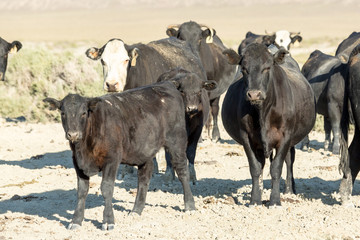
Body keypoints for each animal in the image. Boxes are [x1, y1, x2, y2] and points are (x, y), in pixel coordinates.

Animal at [44, 81, 197, 231]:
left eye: (83, 113)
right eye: (63, 113)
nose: (73, 134)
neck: (84, 148)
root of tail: (167, 84)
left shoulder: (112, 160)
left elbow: (106, 188)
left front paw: (108, 221)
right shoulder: (77, 163)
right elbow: (81, 191)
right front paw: (76, 221)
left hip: (176, 141)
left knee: (182, 171)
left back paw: (190, 205)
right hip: (145, 150)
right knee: (144, 177)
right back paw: (136, 210)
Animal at [221, 44, 316, 207]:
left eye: (267, 67)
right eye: (244, 68)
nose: (254, 94)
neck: (263, 112)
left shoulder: (285, 137)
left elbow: (277, 168)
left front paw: (275, 200)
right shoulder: (246, 137)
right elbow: (255, 168)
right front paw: (255, 199)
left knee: (289, 161)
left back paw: (289, 190)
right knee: (264, 163)